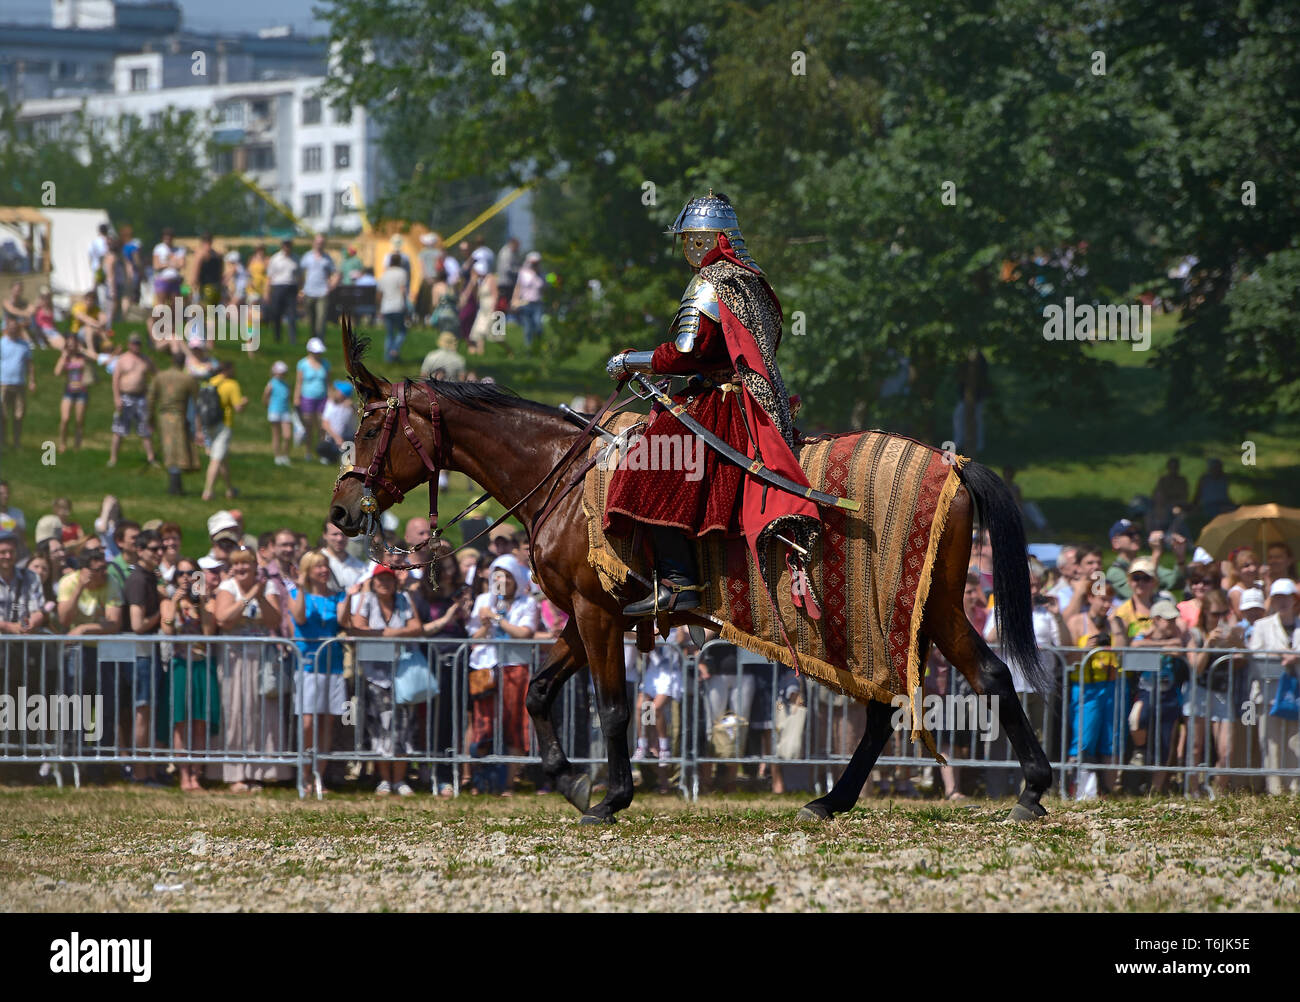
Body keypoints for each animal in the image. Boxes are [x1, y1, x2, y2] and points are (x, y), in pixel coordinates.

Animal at [330, 321, 1050, 821]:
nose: (340, 511)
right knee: (951, 686)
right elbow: (537, 690)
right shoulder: (590, 612)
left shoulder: (596, 613)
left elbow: (613, 707)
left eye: (367, 429)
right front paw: (572, 780)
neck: (560, 475)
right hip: (915, 610)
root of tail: (952, 465)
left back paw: (1023, 791)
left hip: (907, 608)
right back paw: (847, 799)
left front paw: (610, 797)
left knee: (954, 685)